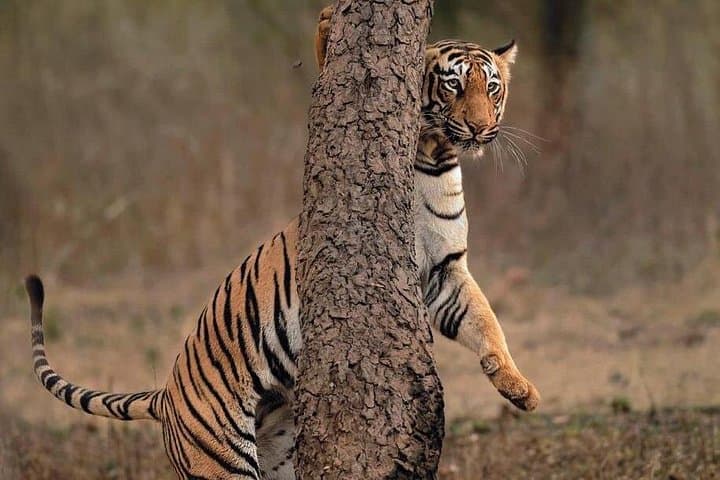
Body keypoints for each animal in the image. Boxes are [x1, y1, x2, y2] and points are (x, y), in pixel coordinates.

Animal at [24, 6, 539, 480]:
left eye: (492, 88)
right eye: (454, 86)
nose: (480, 127)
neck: (435, 159)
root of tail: (166, 393)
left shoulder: (445, 272)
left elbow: (487, 322)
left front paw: (520, 388)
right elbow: (324, 60)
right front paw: (329, 18)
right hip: (222, 460)